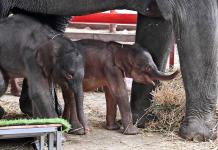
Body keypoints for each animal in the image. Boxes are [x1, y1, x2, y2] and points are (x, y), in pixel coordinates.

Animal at [0, 0, 217, 141]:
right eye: (147, 67)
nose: (175, 70)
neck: (121, 48)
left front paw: (134, 123)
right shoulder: (111, 68)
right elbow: (118, 91)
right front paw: (198, 136)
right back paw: (73, 129)